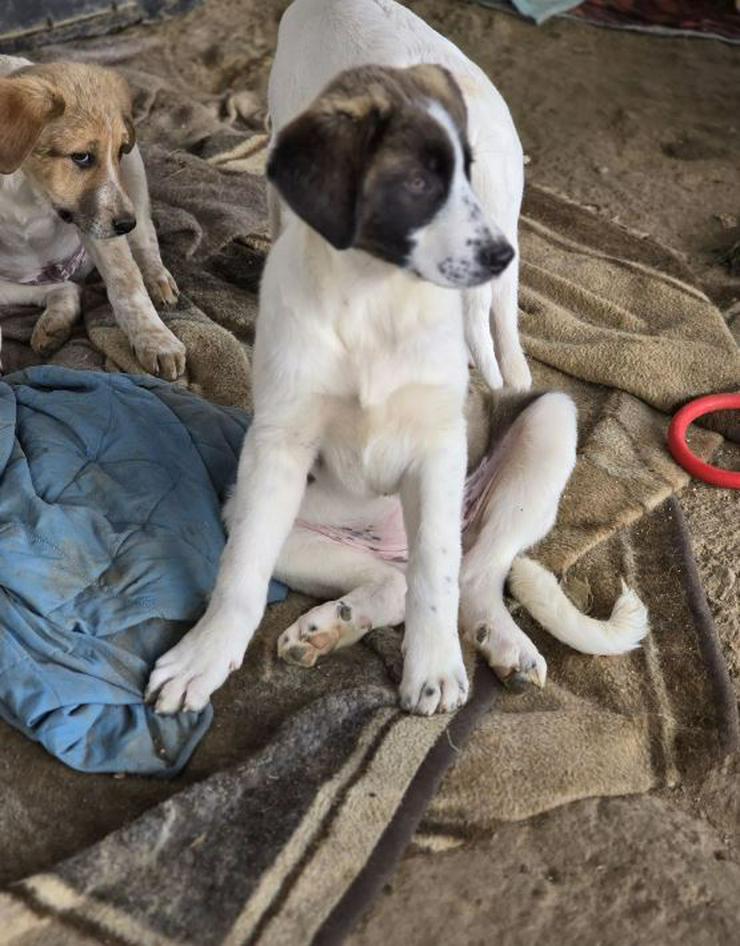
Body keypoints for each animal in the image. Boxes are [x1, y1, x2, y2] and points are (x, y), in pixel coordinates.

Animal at [146, 0, 648, 716]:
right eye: (413, 183)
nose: (498, 256)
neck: (373, 297)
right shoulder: (277, 446)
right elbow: (239, 575)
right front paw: (203, 659)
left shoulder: (439, 446)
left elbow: (439, 578)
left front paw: (434, 671)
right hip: (279, 524)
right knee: (391, 582)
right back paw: (326, 629)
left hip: (548, 428)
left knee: (468, 573)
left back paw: (501, 643)